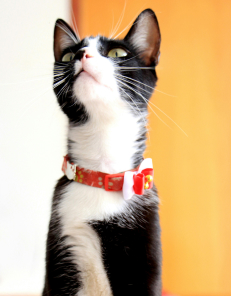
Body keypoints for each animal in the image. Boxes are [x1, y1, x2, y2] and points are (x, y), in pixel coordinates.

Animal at [42, 8, 162, 294]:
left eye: (117, 53)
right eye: (67, 55)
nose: (80, 55)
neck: (101, 174)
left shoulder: (144, 248)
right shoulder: (62, 243)